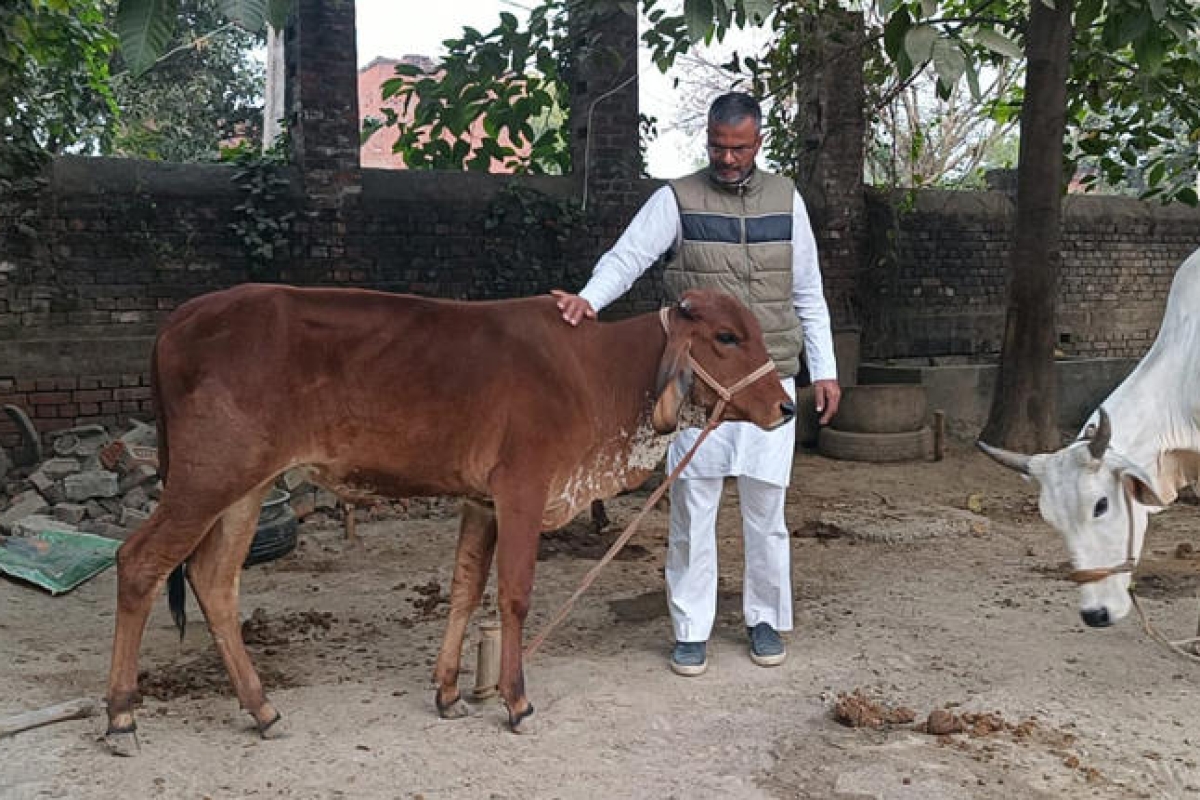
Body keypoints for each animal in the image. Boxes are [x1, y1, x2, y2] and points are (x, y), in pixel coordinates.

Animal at [105, 284, 796, 753]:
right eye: (727, 337)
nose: (787, 407)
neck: (599, 376)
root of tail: (179, 320)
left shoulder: (479, 502)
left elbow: (465, 590)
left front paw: (449, 693)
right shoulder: (521, 491)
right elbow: (513, 595)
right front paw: (516, 700)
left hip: (245, 489)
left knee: (214, 580)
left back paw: (262, 709)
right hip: (207, 477)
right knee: (138, 563)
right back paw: (120, 715)